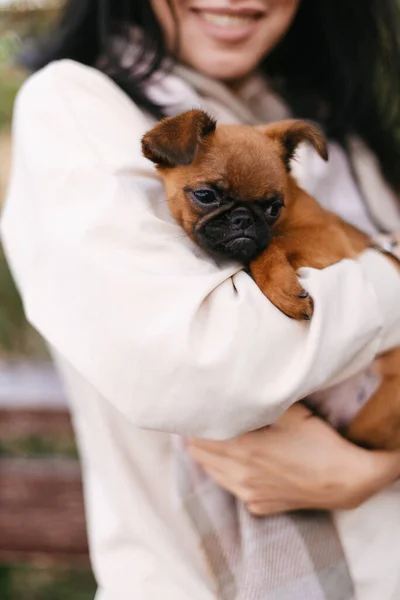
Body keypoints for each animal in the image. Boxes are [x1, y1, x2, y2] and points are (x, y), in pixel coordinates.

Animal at [142, 110, 400, 450]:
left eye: (274, 207)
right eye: (206, 196)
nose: (243, 219)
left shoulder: (326, 238)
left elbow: (270, 246)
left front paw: (283, 291)